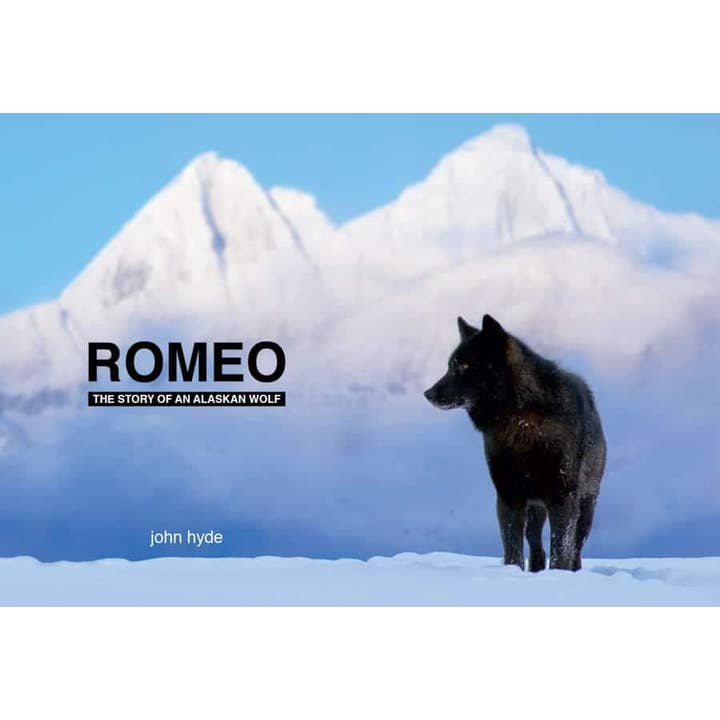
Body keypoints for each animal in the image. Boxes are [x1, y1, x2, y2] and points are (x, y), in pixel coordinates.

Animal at [424, 315, 606, 572]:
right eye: (450, 366)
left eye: (465, 366)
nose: (428, 393)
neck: (520, 421)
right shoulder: (508, 496)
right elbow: (512, 549)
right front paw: (514, 573)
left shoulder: (562, 497)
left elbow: (561, 549)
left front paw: (558, 574)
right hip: (535, 509)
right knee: (536, 544)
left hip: (585, 507)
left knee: (575, 548)